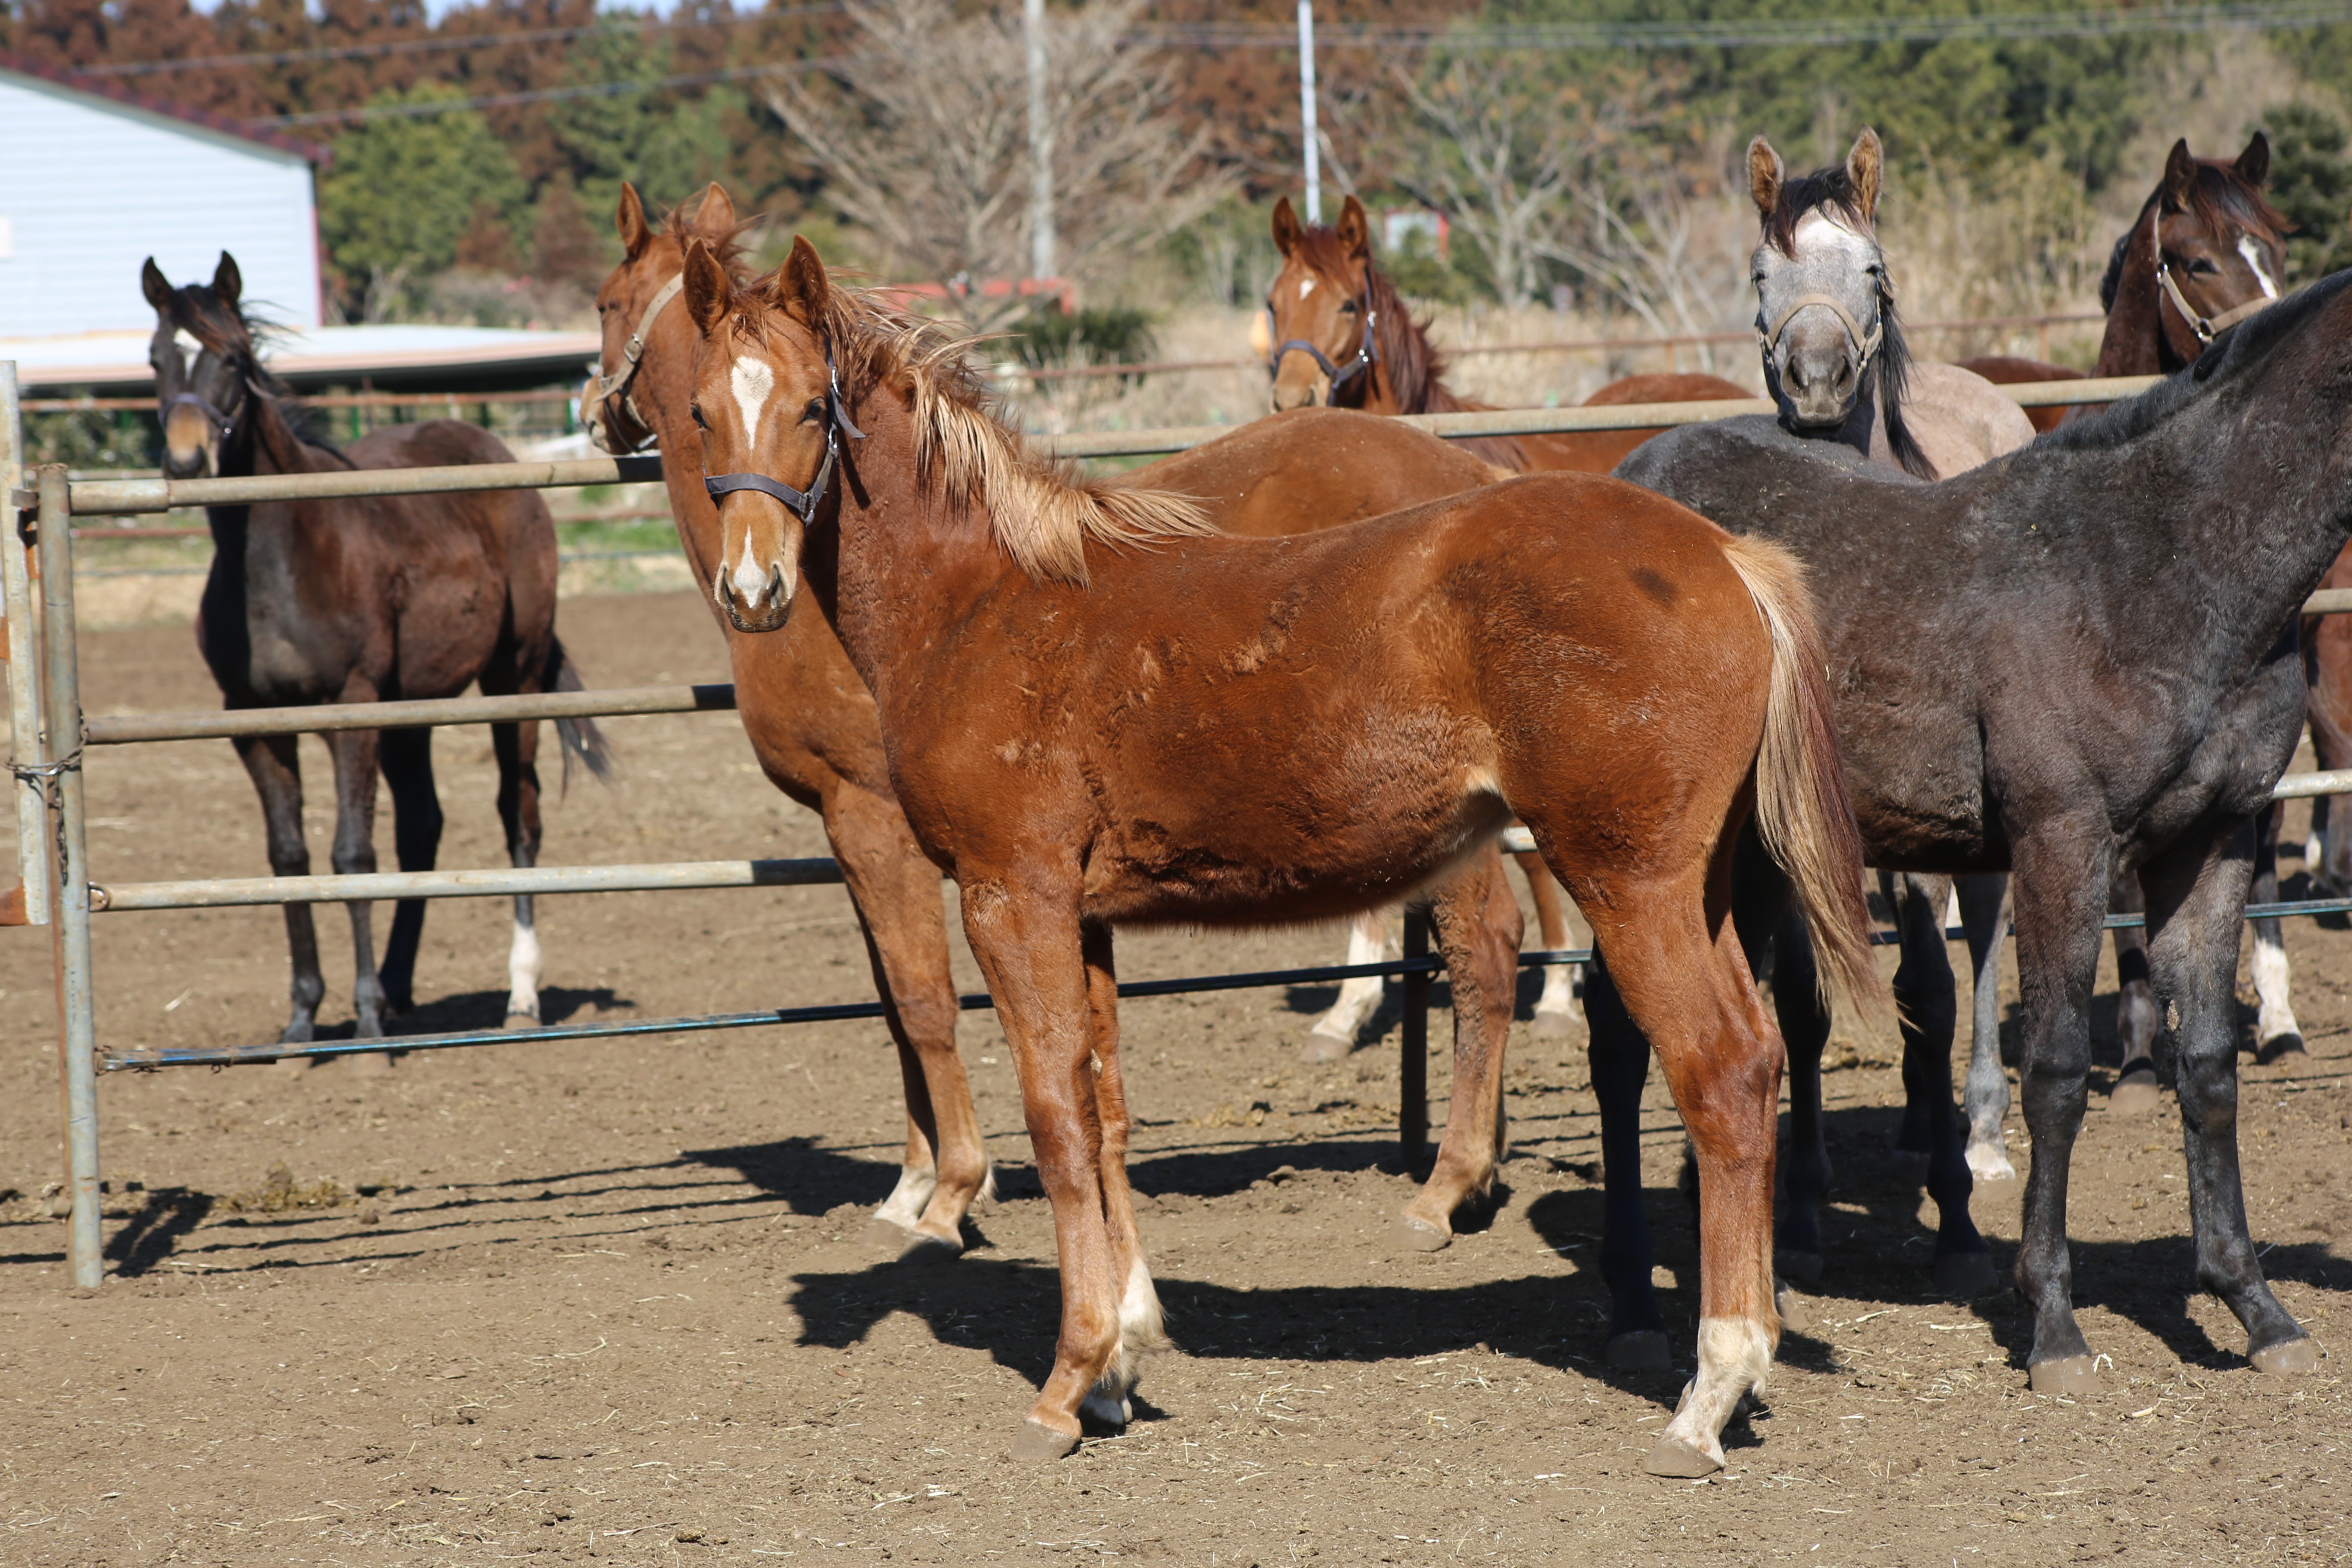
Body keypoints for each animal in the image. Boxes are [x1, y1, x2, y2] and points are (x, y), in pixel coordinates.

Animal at [142, 255, 611, 1067]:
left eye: (231, 357)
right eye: (154, 359)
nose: (186, 458)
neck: (279, 559)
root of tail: (492, 450)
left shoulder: (351, 709)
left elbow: (351, 854)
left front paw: (361, 1023)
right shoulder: (255, 724)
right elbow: (290, 857)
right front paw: (302, 1021)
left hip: (511, 678)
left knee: (518, 817)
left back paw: (518, 994)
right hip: (410, 715)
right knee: (422, 826)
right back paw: (397, 988)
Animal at [588, 187, 1533, 1260]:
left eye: (606, 301)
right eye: (703, 412)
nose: (754, 589)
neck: (964, 593)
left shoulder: (875, 819)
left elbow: (922, 1001)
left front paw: (946, 1192)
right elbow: (903, 1004)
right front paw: (917, 1181)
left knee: (1487, 946)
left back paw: (1448, 1181)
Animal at [677, 230, 1872, 1476]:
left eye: (810, 406)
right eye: (700, 410)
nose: (753, 588)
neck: (988, 600)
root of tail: (1728, 557)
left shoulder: (1013, 896)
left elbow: (1052, 1114)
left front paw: (1066, 1378)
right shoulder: (1085, 914)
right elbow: (1103, 1109)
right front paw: (1124, 1359)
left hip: (1630, 880)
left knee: (1719, 1070)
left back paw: (1708, 1388)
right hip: (1706, 885)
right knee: (1759, 1053)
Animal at [1609, 270, 2352, 1401]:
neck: (2158, 566)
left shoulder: (2211, 842)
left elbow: (2209, 1066)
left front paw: (2251, 1303)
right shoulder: (2062, 839)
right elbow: (2053, 1071)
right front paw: (2050, 1321)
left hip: (1744, 855)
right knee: (1615, 1051)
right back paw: (1632, 1312)